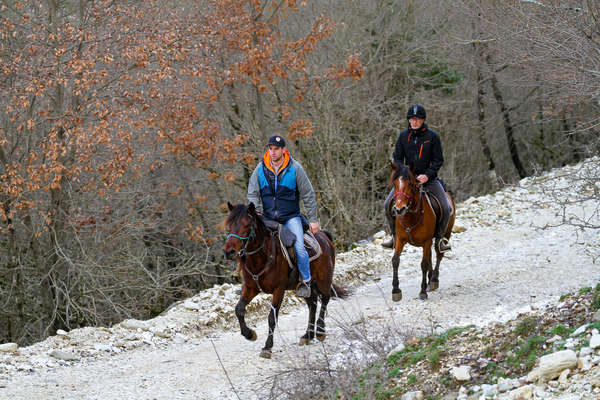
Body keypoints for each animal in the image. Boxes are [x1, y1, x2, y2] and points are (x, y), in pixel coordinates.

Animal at [224, 203, 346, 360]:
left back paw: (319, 332)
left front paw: (267, 347)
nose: (229, 252)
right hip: (304, 288)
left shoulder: (279, 290)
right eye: (229, 225)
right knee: (312, 304)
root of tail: (324, 236)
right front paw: (249, 334)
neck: (262, 256)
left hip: (324, 279)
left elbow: (272, 317)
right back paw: (308, 335)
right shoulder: (251, 288)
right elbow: (239, 310)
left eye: (247, 225)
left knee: (325, 299)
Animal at [390, 164, 454, 302]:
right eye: (394, 184)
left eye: (410, 184)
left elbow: (423, 264)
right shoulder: (400, 239)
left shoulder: (426, 240)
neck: (411, 216)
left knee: (439, 254)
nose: (399, 209)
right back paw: (430, 280)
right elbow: (395, 260)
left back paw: (434, 280)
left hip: (444, 234)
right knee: (430, 256)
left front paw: (423, 292)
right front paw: (396, 291)